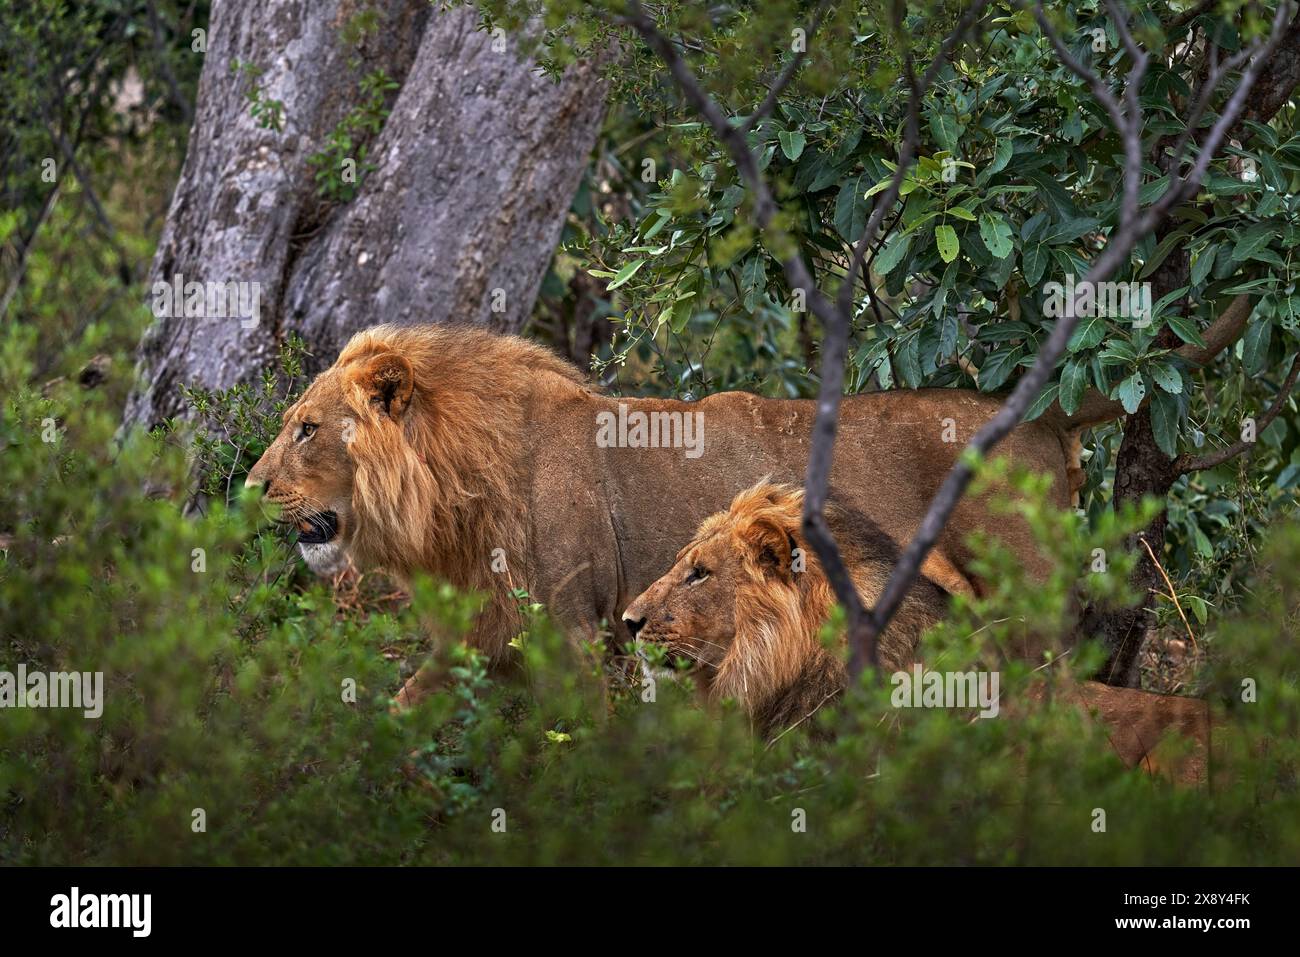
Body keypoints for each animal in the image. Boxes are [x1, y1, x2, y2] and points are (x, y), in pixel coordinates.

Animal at [245, 323, 1107, 706]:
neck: (456, 493)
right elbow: (406, 707)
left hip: (1034, 613)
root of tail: (1046, 416)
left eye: (307, 428)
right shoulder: (488, 636)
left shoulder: (575, 635)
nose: (250, 487)